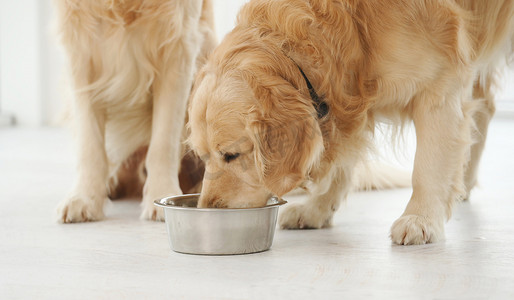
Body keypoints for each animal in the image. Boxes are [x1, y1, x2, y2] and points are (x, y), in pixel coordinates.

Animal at [55, 0, 215, 220]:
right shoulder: (80, 49)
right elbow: (89, 145)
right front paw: (85, 197)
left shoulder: (178, 47)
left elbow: (163, 143)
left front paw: (161, 195)